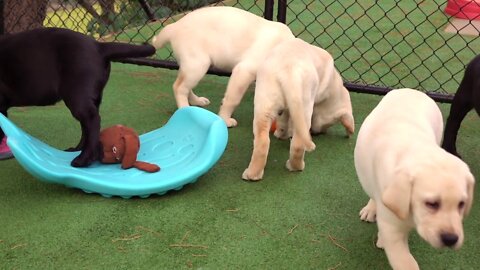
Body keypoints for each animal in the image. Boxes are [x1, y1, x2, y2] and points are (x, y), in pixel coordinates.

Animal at [0, 27, 155, 167]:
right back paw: (78, 149)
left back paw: (83, 158)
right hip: (89, 96)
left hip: (76, 95)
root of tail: (98, 46)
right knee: (86, 124)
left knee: (92, 120)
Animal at [150, 6, 294, 127]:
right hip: (198, 64)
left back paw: (196, 102)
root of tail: (174, 26)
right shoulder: (244, 71)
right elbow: (232, 99)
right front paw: (225, 119)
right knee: (179, 87)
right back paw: (185, 110)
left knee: (185, 86)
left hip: (190, 65)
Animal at [242, 38, 354, 180]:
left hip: (265, 103)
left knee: (263, 141)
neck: (333, 88)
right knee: (298, 143)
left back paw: (252, 174)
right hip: (305, 106)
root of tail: (290, 71)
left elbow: (284, 122)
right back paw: (296, 167)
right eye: (328, 125)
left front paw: (281, 134)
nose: (318, 132)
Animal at [354, 87, 474, 268]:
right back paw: (371, 209)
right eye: (431, 204)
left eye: (461, 204)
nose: (451, 239)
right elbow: (406, 262)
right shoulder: (392, 229)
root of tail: (412, 90)